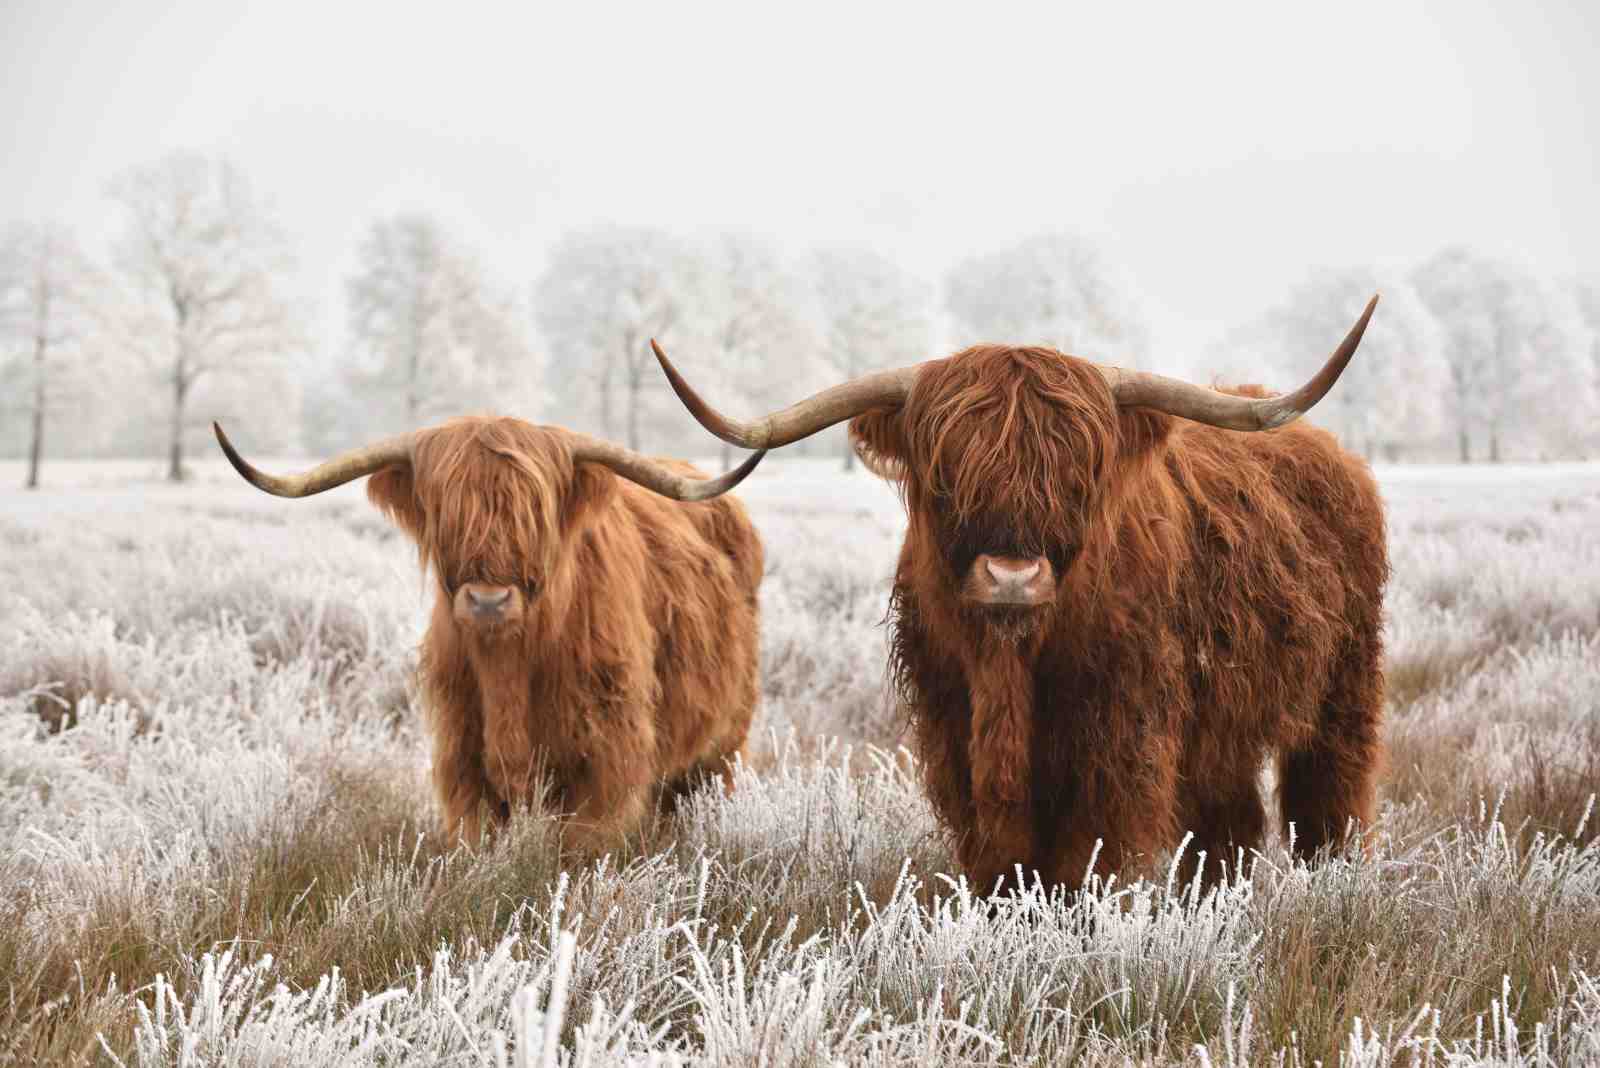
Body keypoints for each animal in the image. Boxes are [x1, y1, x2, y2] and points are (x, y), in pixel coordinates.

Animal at [214, 416, 766, 854]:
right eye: (445, 512)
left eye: (533, 514)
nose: (488, 601)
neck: (509, 668)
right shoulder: (462, 760)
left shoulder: (607, 763)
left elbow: (582, 852)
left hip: (722, 746)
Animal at [651, 296, 1388, 892]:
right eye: (946, 471)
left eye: (1078, 472)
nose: (1011, 577)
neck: (1009, 665)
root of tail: (1336, 454)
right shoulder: (953, 730)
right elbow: (999, 861)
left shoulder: (1121, 738)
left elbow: (1085, 861)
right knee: (1229, 822)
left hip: (1344, 688)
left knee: (1328, 796)